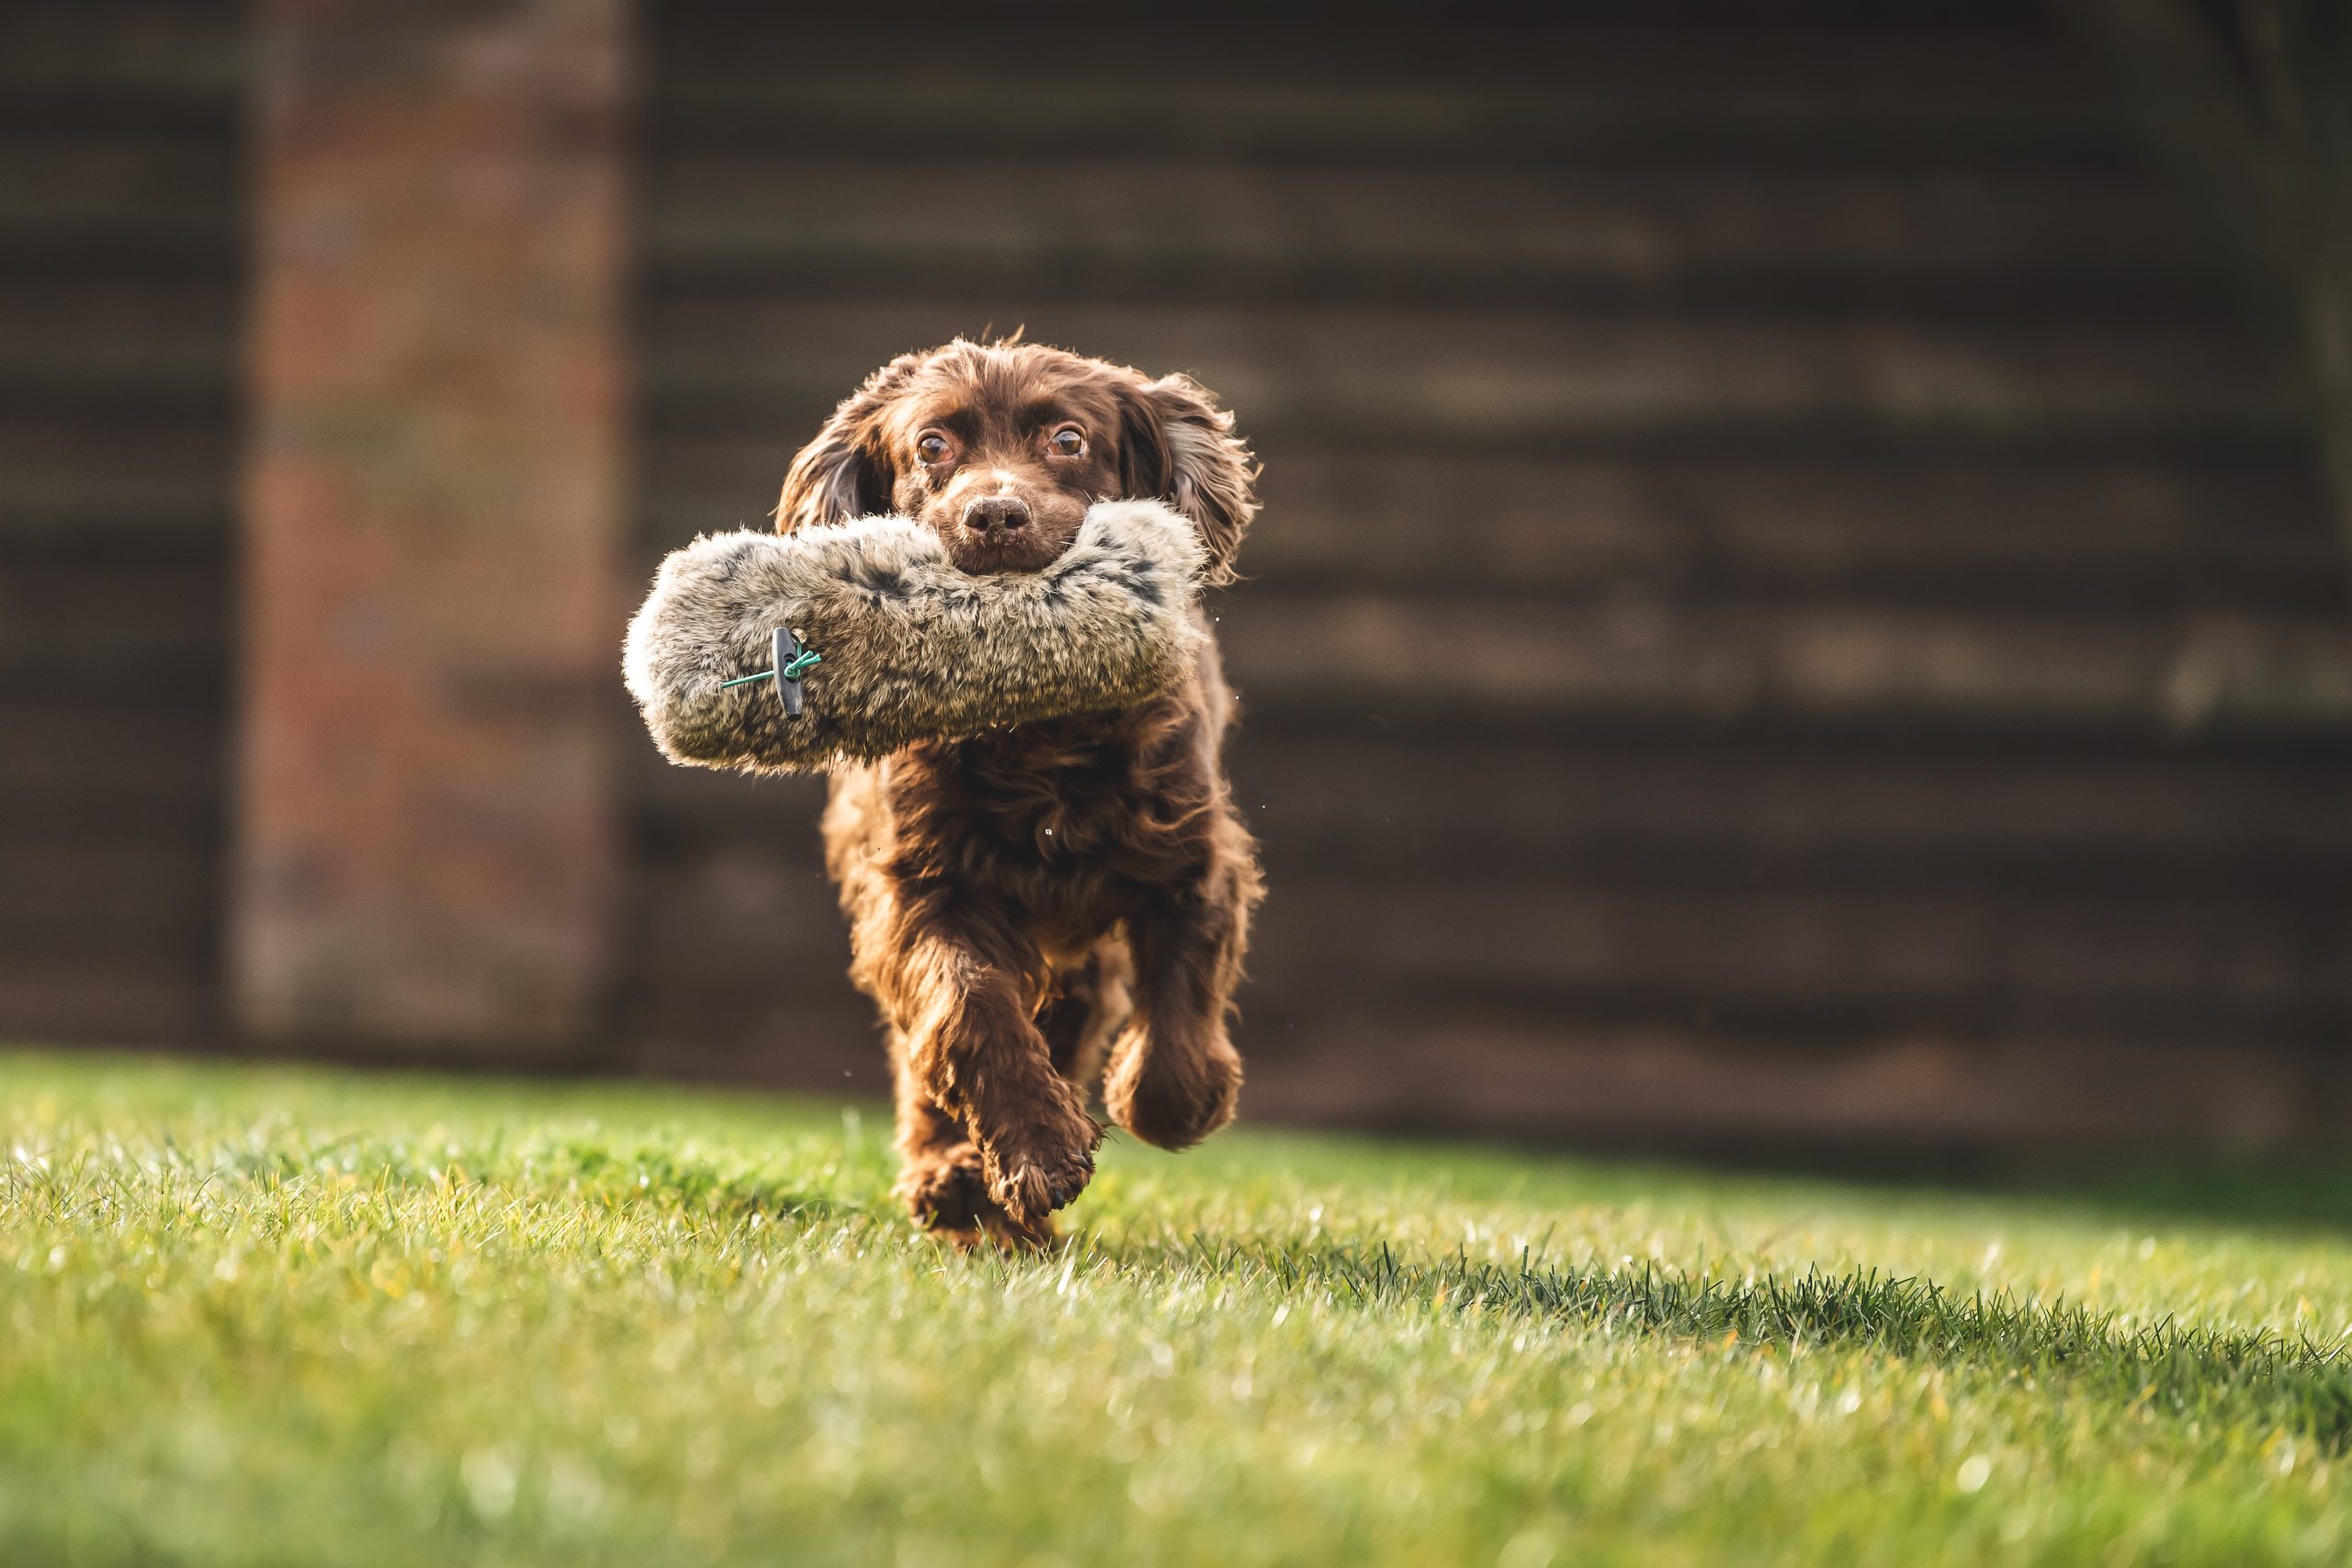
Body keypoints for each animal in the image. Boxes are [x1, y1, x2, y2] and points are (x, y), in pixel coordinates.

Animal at [775, 343, 1270, 1250]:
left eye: (1069, 439)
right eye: (932, 445)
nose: (995, 516)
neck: (1036, 732)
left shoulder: (1191, 858)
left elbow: (1180, 1005)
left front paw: (1171, 1102)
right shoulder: (919, 887)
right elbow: (964, 1006)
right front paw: (1036, 1151)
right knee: (928, 1059)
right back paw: (955, 1180)